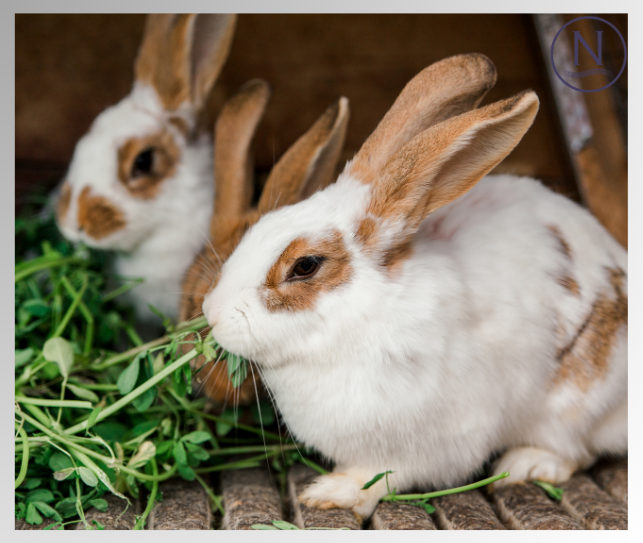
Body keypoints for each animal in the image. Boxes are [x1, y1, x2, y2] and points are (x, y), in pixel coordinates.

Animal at [200, 53, 627, 520]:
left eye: (305, 266)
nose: (211, 312)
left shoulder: (435, 439)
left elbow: (384, 474)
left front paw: (332, 492)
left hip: (576, 400)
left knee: (576, 449)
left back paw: (525, 464)